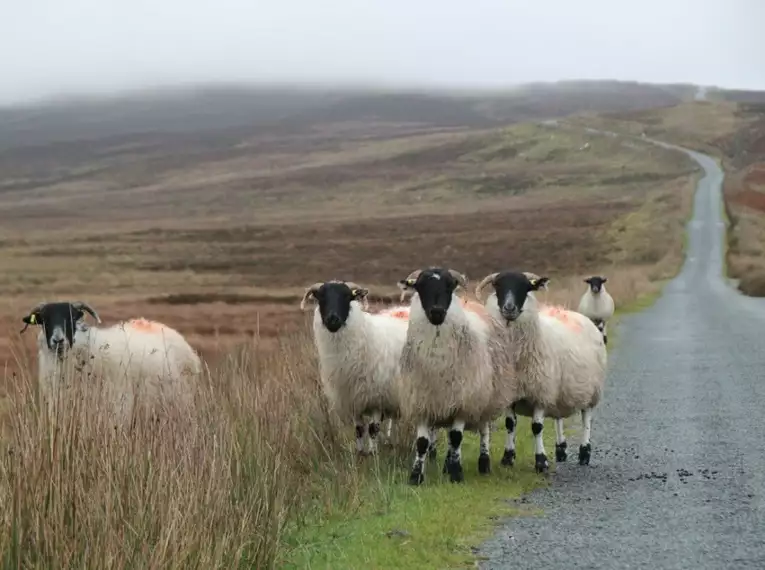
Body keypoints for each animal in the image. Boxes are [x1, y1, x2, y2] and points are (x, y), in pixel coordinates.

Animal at [302, 278, 414, 454]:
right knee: (394, 418)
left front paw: (373, 453)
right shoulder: (353, 399)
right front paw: (361, 453)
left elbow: (373, 428)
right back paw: (391, 442)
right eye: (321, 297)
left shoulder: (376, 397)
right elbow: (359, 430)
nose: (332, 319)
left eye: (347, 296)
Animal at [396, 266, 516, 484]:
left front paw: (456, 474)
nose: (436, 312)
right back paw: (446, 465)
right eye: (420, 286)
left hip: (485, 398)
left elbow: (456, 437)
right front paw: (416, 476)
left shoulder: (463, 402)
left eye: (450, 286)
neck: (437, 360)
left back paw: (483, 463)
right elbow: (422, 442)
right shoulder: (422, 402)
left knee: (483, 431)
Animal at [474, 270, 604, 470]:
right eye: (498, 286)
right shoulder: (510, 395)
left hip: (591, 391)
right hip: (559, 392)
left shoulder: (540, 392)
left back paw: (584, 452)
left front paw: (541, 461)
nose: (509, 308)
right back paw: (561, 449)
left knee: (586, 419)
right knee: (558, 417)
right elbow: (510, 424)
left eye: (526, 287)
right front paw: (507, 458)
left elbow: (537, 428)